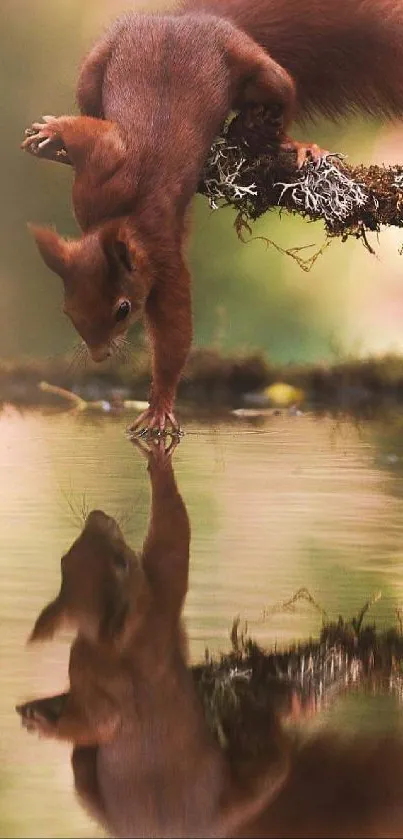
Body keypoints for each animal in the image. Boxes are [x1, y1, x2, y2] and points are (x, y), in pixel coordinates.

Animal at [22, 0, 403, 434]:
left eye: (123, 310)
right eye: (67, 310)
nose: (100, 355)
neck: (120, 217)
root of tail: (190, 17)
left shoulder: (163, 258)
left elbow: (175, 334)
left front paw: (160, 406)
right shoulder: (99, 177)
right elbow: (92, 133)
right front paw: (53, 131)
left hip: (255, 67)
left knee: (281, 99)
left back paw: (295, 145)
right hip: (95, 64)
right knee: (90, 98)